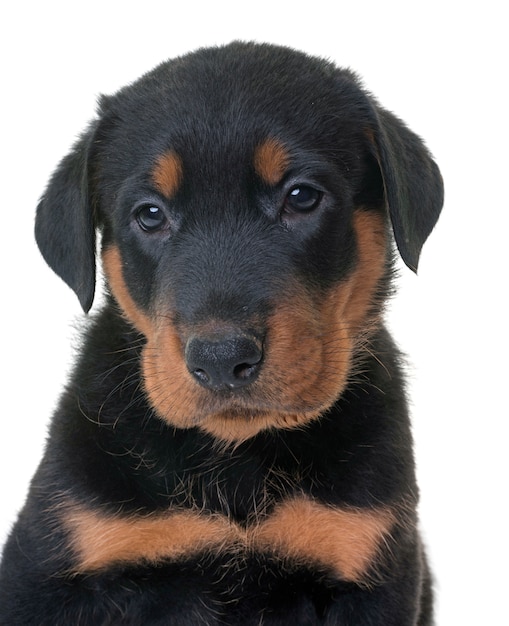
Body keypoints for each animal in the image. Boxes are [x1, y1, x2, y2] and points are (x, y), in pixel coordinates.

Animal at [0, 41, 440, 620]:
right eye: (150, 214)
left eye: (301, 196)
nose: (221, 358)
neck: (235, 460)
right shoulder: (51, 563)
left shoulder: (366, 558)